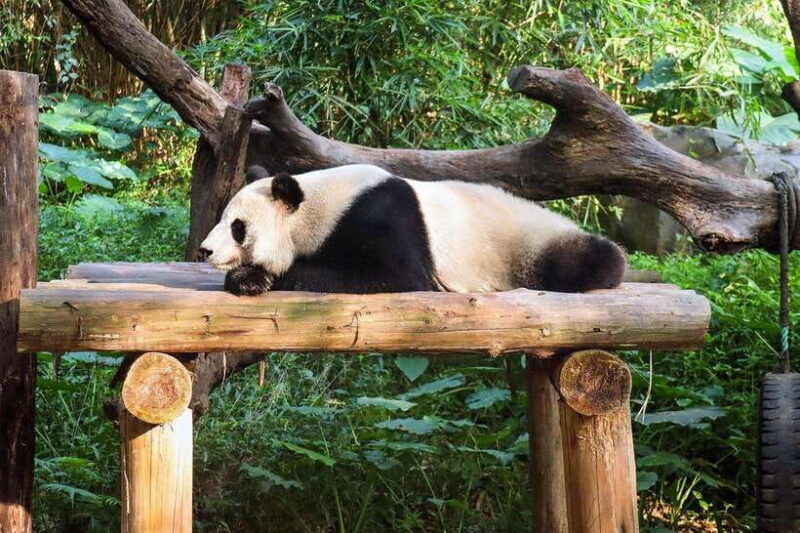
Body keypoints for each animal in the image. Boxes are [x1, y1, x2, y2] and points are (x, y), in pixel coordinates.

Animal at [199, 164, 626, 296]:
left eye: (237, 227)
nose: (205, 251)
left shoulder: (382, 216)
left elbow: (395, 275)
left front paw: (256, 276)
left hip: (526, 244)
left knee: (588, 259)